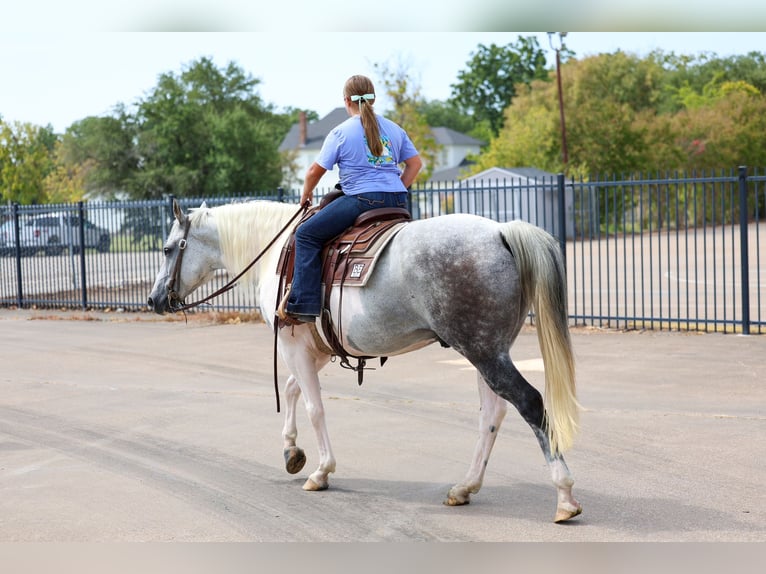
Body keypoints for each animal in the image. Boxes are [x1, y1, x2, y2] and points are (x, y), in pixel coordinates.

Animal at [147, 199, 583, 523]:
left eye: (168, 249)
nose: (153, 299)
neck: (278, 250)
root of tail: (500, 232)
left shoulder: (293, 346)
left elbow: (314, 406)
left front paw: (321, 471)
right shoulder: (316, 349)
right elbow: (291, 390)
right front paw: (291, 451)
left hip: (483, 352)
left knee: (530, 404)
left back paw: (564, 497)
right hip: (487, 351)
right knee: (492, 414)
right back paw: (465, 487)